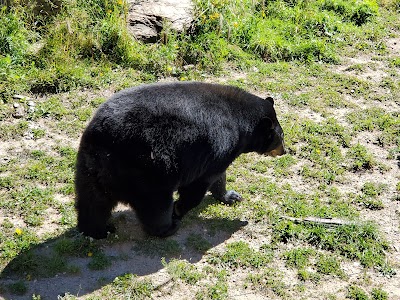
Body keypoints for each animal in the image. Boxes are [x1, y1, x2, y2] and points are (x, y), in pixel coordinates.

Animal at [75, 81, 286, 238]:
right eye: (281, 136)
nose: (284, 151)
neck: (240, 121)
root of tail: (103, 139)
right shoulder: (220, 144)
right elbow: (200, 183)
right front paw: (179, 209)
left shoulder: (220, 154)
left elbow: (219, 176)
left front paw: (231, 196)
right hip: (148, 169)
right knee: (155, 204)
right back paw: (168, 227)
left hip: (90, 166)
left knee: (92, 202)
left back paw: (97, 230)